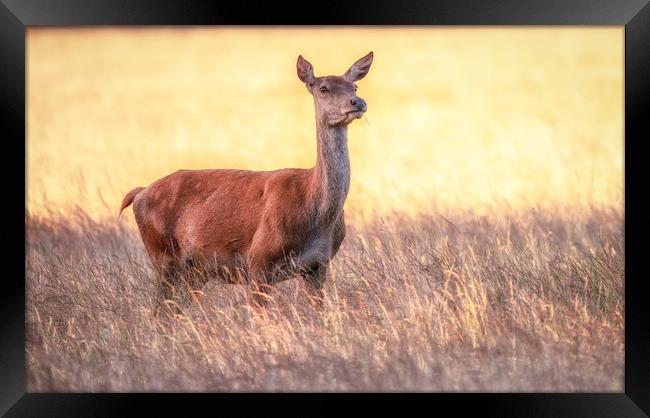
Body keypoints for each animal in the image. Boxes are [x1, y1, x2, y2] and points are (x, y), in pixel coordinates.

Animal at [119, 51, 372, 314]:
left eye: (354, 86)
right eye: (323, 88)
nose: (357, 102)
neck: (313, 210)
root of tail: (139, 193)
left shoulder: (318, 266)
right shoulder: (258, 260)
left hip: (194, 270)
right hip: (162, 255)